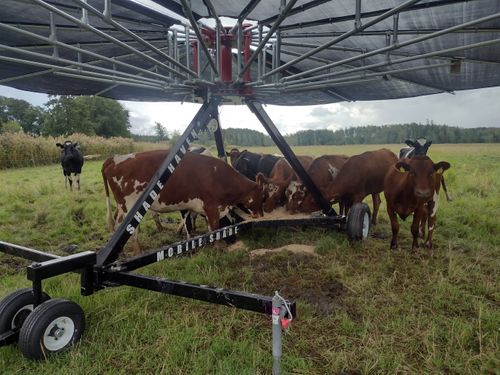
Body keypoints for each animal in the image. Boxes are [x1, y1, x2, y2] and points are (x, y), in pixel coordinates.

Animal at [103, 149, 264, 253]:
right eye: (262, 196)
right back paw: (138, 251)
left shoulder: (197, 207)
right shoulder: (211, 207)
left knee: (117, 226)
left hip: (122, 208)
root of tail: (114, 159)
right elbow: (214, 228)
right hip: (130, 207)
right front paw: (218, 247)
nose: (261, 215)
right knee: (130, 230)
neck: (219, 176)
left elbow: (199, 225)